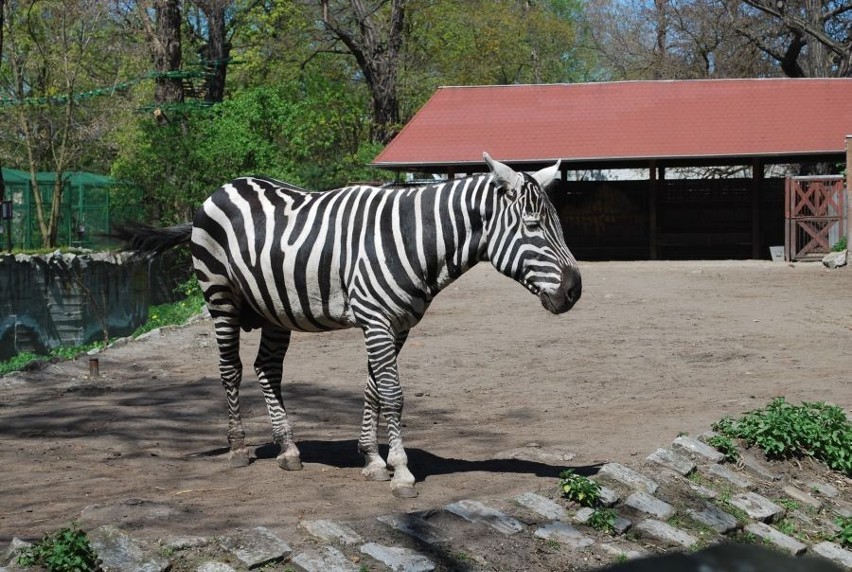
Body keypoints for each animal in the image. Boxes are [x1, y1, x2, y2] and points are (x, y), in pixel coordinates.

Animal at [118, 154, 580, 498]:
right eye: (534, 226)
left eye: (559, 225)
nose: (575, 290)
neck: (414, 240)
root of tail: (223, 188)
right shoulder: (376, 319)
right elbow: (393, 394)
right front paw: (401, 472)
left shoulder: (397, 325)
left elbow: (374, 387)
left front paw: (372, 459)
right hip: (220, 297)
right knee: (230, 369)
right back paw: (238, 447)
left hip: (274, 308)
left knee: (268, 369)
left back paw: (288, 450)